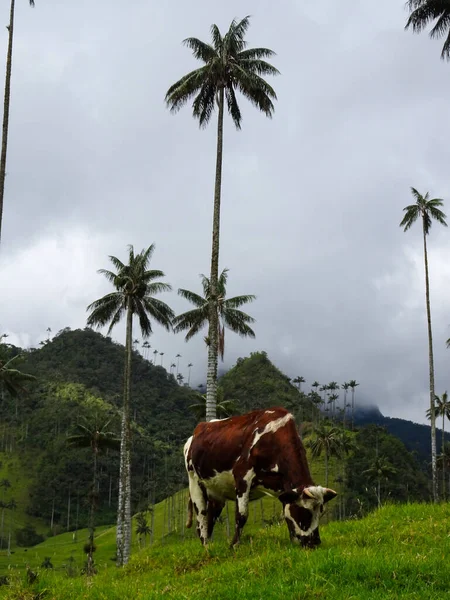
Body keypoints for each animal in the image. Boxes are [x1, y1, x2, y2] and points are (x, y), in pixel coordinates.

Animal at [184, 408, 338, 548]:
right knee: (202, 517)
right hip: (195, 482)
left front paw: (293, 541)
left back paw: (210, 546)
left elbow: (285, 512)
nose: (315, 542)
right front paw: (234, 545)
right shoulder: (242, 475)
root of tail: (193, 435)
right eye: (305, 512)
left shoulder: (285, 486)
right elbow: (241, 515)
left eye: (321, 512)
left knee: (211, 517)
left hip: (216, 491)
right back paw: (206, 547)